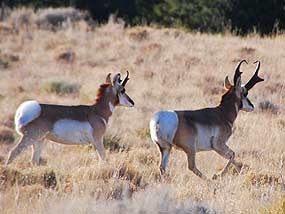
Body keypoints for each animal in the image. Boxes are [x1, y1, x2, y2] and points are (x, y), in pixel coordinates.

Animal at [5, 72, 134, 166]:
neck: (97, 111)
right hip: (30, 139)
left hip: (40, 141)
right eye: (122, 90)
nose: (132, 103)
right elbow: (103, 158)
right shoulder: (98, 140)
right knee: (13, 153)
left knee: (33, 161)